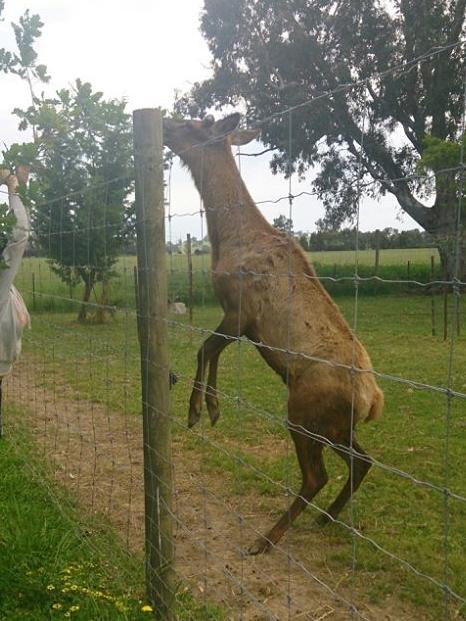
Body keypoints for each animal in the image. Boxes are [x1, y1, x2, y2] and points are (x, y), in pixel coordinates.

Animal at [162, 114, 384, 556]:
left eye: (194, 124)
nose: (163, 122)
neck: (225, 241)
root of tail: (373, 402)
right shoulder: (242, 322)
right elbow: (211, 351)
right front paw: (212, 408)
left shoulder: (242, 310)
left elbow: (204, 349)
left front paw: (198, 411)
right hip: (336, 425)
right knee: (362, 461)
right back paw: (326, 518)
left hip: (303, 411)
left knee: (317, 476)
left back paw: (266, 538)